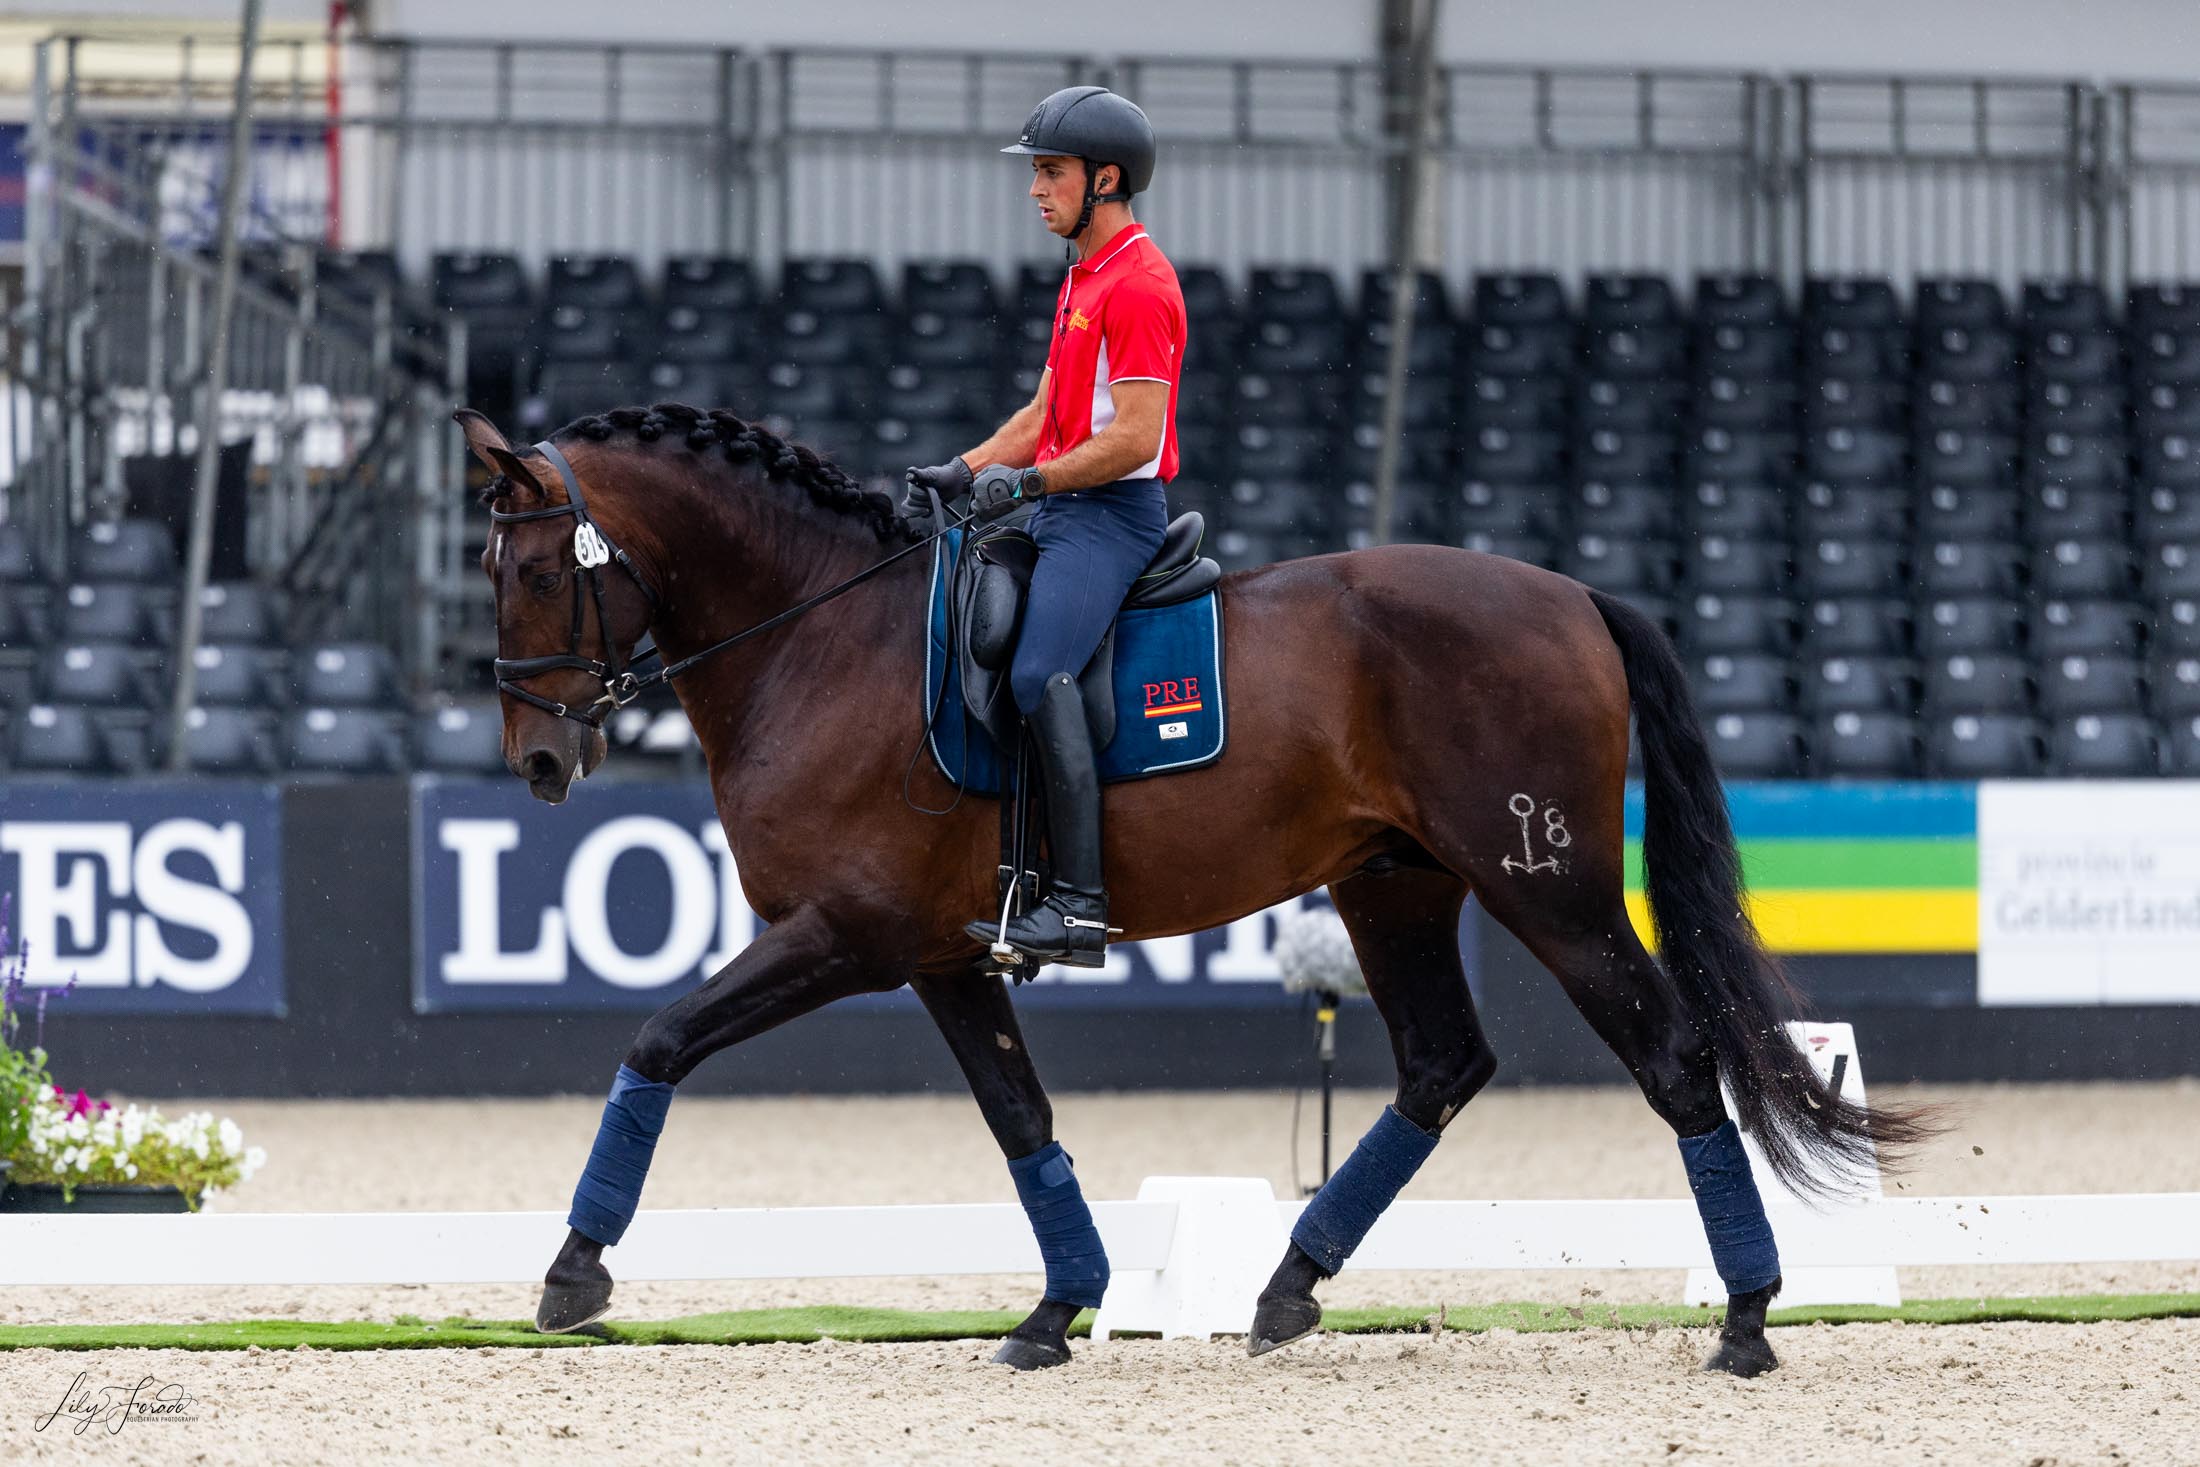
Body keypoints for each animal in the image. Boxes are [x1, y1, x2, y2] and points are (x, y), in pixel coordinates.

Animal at [464, 402, 1927, 1381]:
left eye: (534, 570)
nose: (539, 759)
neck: (820, 638)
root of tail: (1570, 592)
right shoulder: (941, 953)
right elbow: (1021, 1117)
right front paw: (1060, 1309)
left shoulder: (847, 934)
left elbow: (660, 1039)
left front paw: (574, 1270)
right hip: (1394, 885)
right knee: (1441, 1064)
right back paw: (1286, 1286)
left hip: (1548, 885)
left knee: (1671, 1056)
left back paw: (1747, 1317)